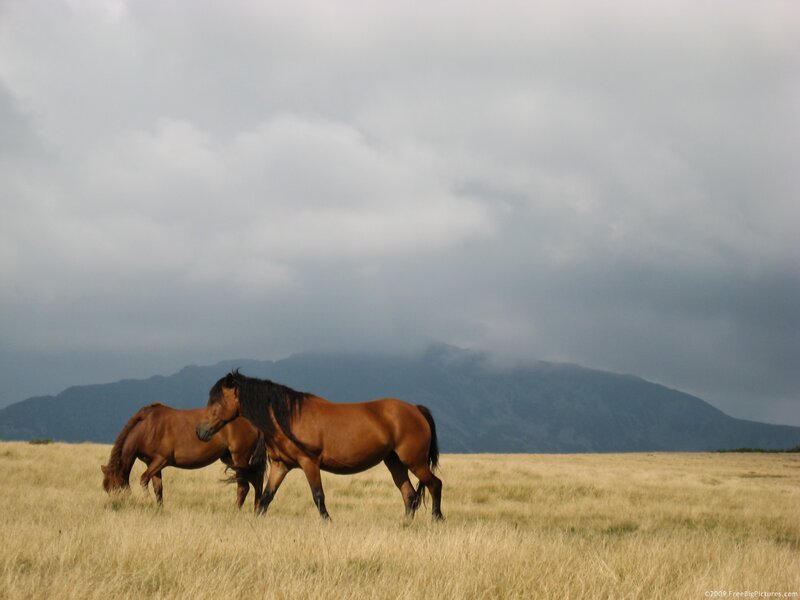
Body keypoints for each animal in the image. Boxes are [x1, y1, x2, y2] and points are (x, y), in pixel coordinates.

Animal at [101, 403, 266, 510]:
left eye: (115, 487)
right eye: (107, 489)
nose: (115, 507)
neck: (148, 428)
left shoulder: (161, 460)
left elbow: (143, 479)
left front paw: (147, 501)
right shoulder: (152, 464)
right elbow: (158, 488)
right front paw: (159, 509)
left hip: (239, 458)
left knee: (244, 487)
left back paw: (235, 511)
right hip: (231, 459)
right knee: (256, 482)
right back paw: (257, 510)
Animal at [196, 370, 443, 521]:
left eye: (217, 401)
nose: (200, 431)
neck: (289, 418)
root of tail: (415, 409)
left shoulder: (309, 463)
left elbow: (318, 496)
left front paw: (327, 521)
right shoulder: (280, 466)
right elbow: (266, 497)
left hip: (414, 461)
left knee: (435, 484)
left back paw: (437, 518)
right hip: (395, 462)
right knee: (409, 495)